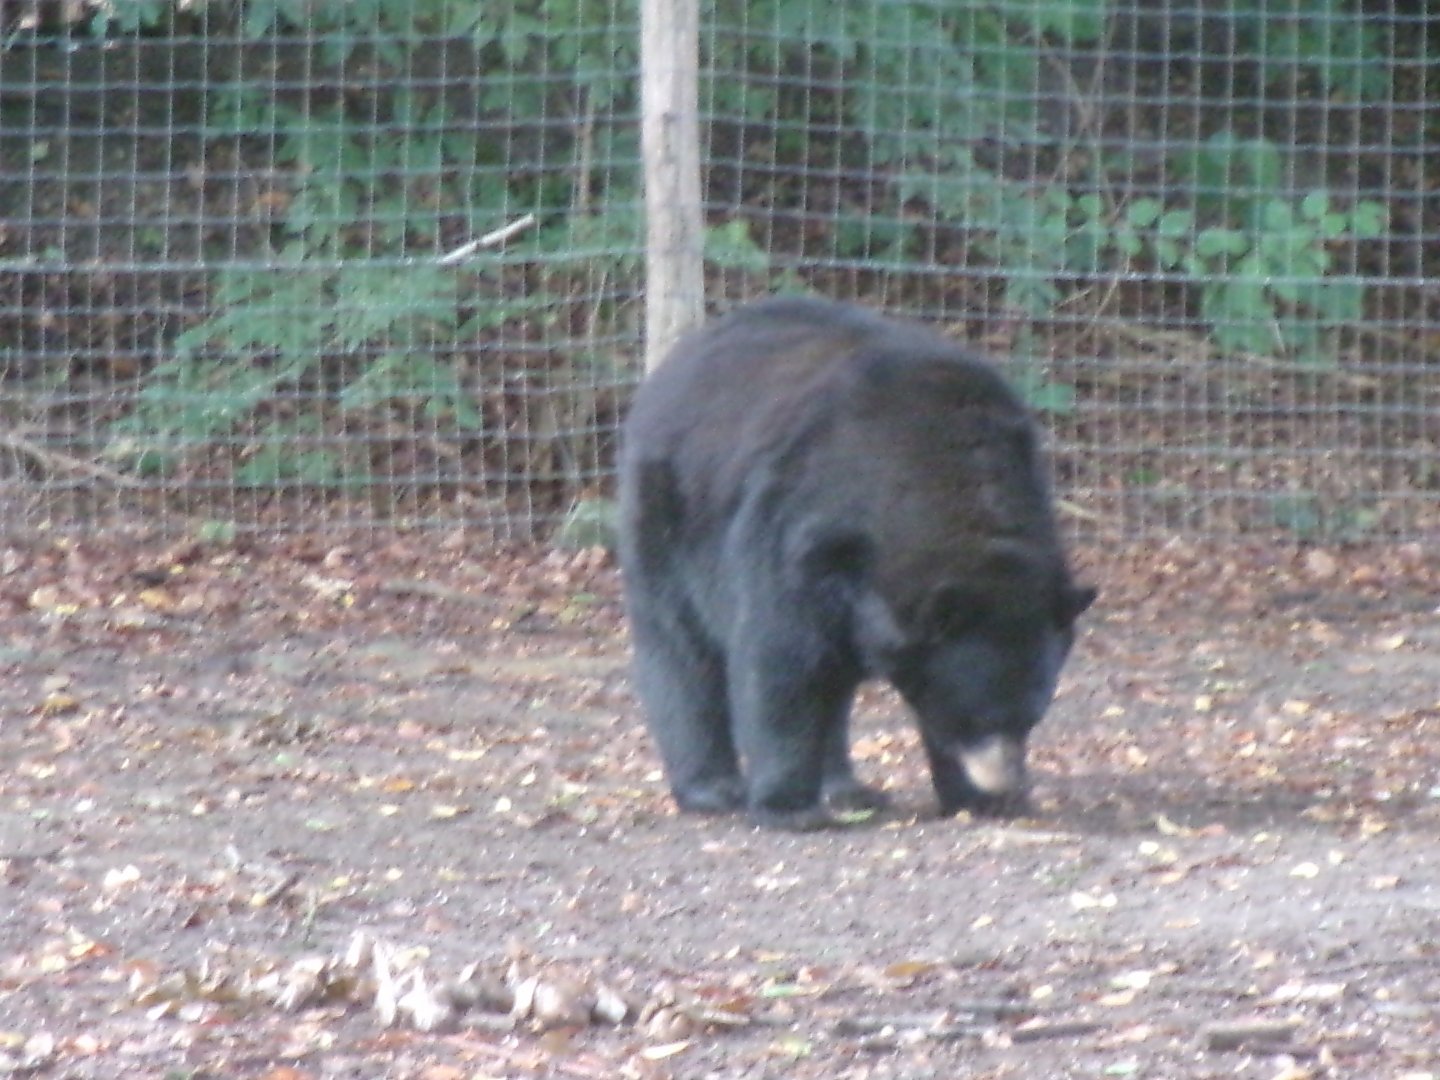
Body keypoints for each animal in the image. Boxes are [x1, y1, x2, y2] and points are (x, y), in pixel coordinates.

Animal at [617, 296, 1095, 830]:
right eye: (977, 717)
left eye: (1032, 716)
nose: (1004, 781)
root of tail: (679, 358)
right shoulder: (802, 524)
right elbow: (781, 655)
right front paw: (790, 806)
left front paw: (979, 798)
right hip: (668, 509)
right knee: (679, 647)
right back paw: (712, 788)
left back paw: (846, 788)